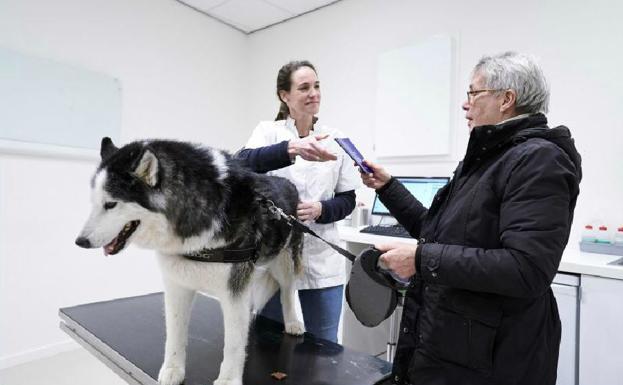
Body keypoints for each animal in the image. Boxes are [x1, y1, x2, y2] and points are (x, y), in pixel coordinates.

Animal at [75, 138, 304, 384]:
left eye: (110, 204)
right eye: (94, 203)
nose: (80, 242)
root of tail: (288, 183)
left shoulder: (234, 292)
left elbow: (233, 344)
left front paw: (228, 380)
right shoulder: (177, 286)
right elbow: (175, 334)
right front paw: (172, 370)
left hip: (285, 265)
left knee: (288, 292)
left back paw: (293, 322)